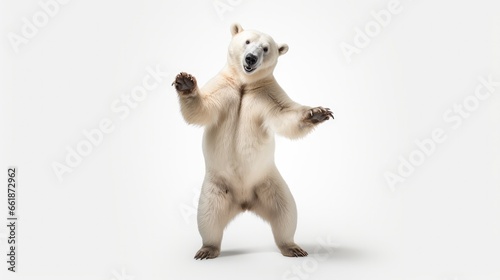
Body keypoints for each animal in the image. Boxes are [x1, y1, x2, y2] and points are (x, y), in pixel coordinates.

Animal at [172, 23, 332, 260]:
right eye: (247, 42)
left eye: (265, 48)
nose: (250, 58)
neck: (244, 85)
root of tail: (244, 201)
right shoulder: (224, 88)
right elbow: (203, 109)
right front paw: (185, 83)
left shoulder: (268, 95)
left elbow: (285, 115)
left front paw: (317, 113)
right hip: (216, 187)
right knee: (209, 216)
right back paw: (207, 249)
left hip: (269, 183)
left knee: (285, 212)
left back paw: (292, 247)